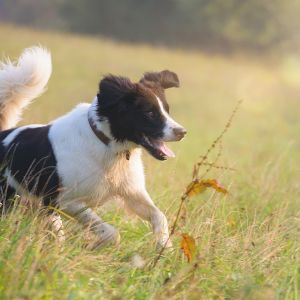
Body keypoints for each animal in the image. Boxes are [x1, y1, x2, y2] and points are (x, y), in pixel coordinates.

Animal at [0, 46, 186, 248]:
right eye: (150, 113)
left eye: (166, 110)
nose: (182, 132)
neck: (109, 147)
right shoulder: (67, 201)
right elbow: (112, 233)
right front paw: (94, 246)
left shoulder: (132, 192)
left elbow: (159, 216)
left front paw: (164, 247)